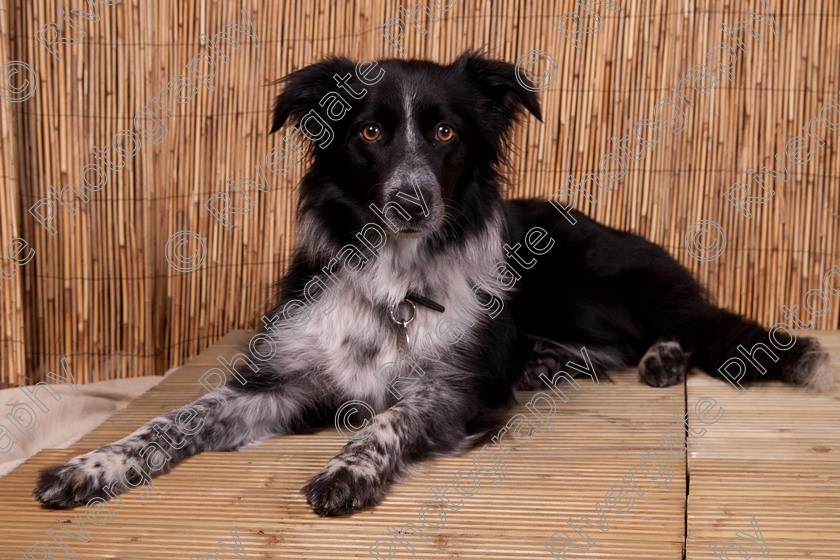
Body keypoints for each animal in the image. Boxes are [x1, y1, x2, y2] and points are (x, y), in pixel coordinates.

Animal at [32, 51, 832, 516]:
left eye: (446, 133)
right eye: (369, 132)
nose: (412, 202)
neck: (395, 278)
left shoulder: (451, 392)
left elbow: (390, 417)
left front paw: (349, 467)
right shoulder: (278, 386)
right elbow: (173, 419)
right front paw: (93, 465)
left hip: (582, 281)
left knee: (672, 325)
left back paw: (656, 358)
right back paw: (553, 364)